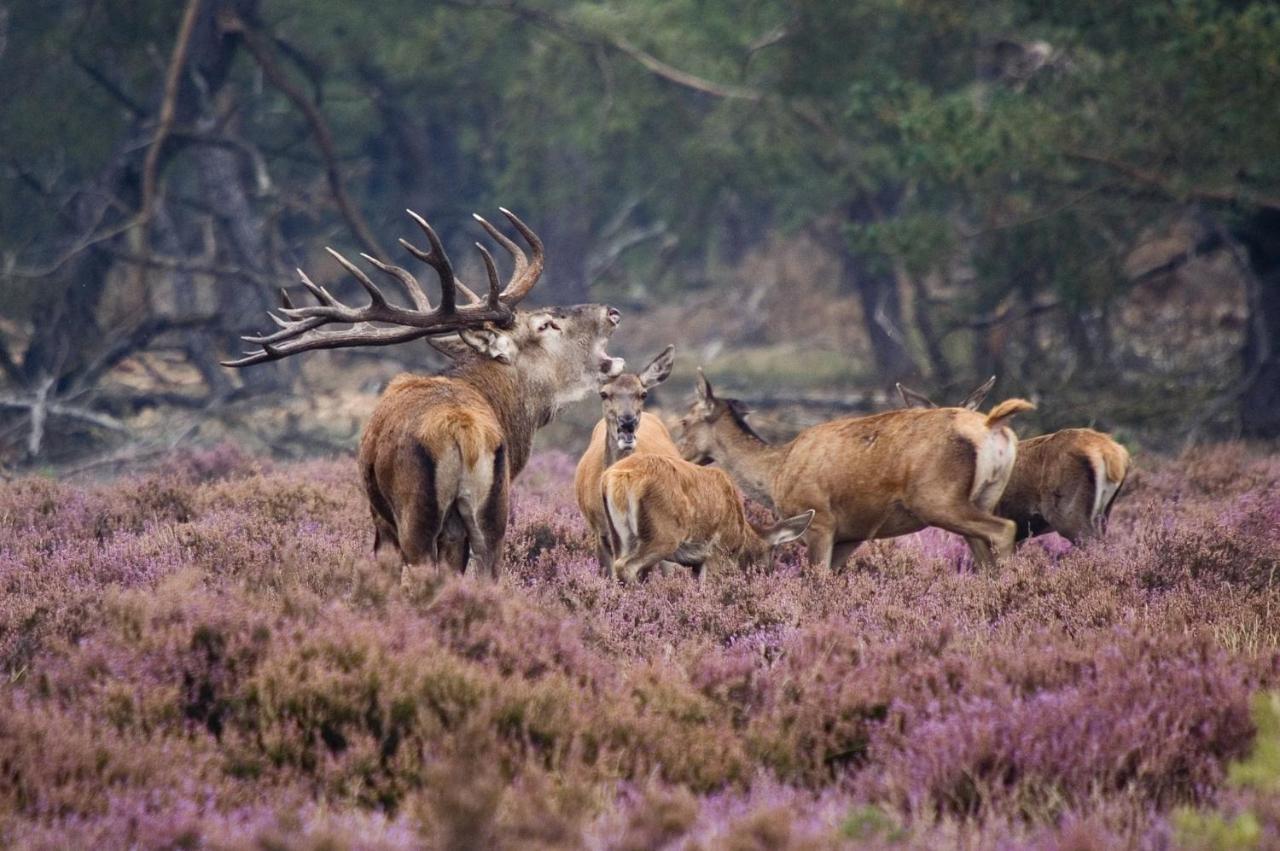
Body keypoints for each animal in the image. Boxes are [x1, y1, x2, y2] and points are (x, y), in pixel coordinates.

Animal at [226, 208, 624, 578]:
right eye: (545, 324)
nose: (612, 311)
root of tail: (463, 431)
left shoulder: (381, 515)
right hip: (492, 515)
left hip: (414, 514)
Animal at [675, 371, 1034, 570]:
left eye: (684, 420)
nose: (679, 456)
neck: (775, 473)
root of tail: (992, 428)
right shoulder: (851, 533)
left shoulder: (820, 520)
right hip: (983, 496)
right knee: (984, 557)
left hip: (937, 497)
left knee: (1004, 529)